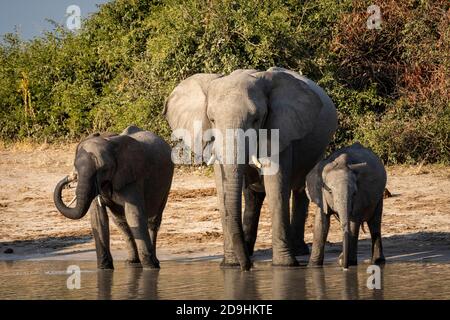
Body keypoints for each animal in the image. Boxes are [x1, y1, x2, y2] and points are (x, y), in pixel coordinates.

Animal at [52, 126, 172, 268]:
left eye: (103, 169)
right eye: (75, 167)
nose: (69, 178)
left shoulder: (132, 178)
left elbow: (134, 215)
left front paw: (150, 268)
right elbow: (98, 217)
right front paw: (104, 268)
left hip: (166, 183)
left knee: (153, 221)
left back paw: (155, 263)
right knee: (121, 223)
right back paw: (131, 262)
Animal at [163, 67, 336, 270]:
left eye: (256, 119)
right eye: (212, 120)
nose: (248, 267)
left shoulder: (280, 130)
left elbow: (276, 188)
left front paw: (284, 266)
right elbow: (222, 188)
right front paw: (230, 265)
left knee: (300, 189)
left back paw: (298, 251)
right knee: (253, 196)